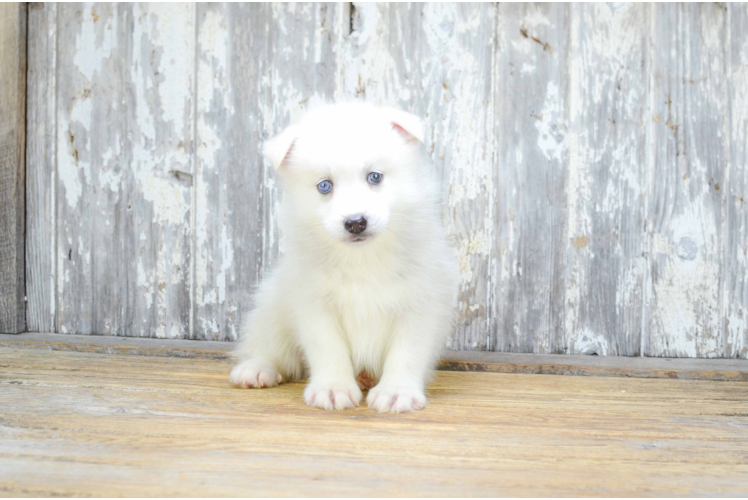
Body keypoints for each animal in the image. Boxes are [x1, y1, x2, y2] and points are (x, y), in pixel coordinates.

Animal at [231, 102, 458, 414]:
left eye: (375, 177)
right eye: (325, 186)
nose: (355, 223)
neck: (362, 258)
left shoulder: (420, 303)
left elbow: (406, 352)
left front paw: (395, 392)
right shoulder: (314, 303)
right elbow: (328, 347)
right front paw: (333, 389)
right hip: (272, 306)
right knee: (270, 346)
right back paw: (256, 369)